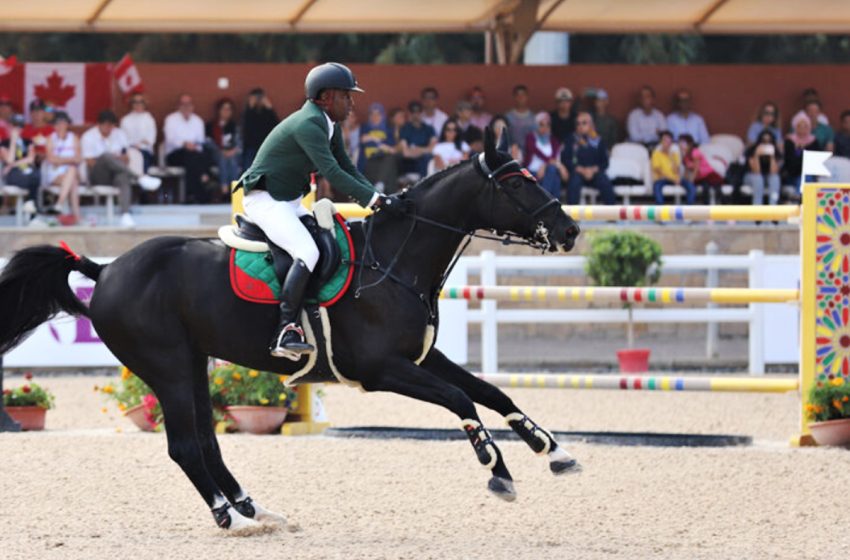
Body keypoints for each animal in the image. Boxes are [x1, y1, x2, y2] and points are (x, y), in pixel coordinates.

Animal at [0, 129, 580, 532]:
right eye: (516, 182)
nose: (571, 230)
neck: (396, 258)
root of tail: (105, 270)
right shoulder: (382, 370)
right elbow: (461, 399)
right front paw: (497, 469)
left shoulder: (419, 359)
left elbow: (491, 392)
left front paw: (552, 450)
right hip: (166, 367)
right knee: (185, 446)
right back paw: (230, 518)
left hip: (191, 363)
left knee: (206, 441)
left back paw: (254, 509)